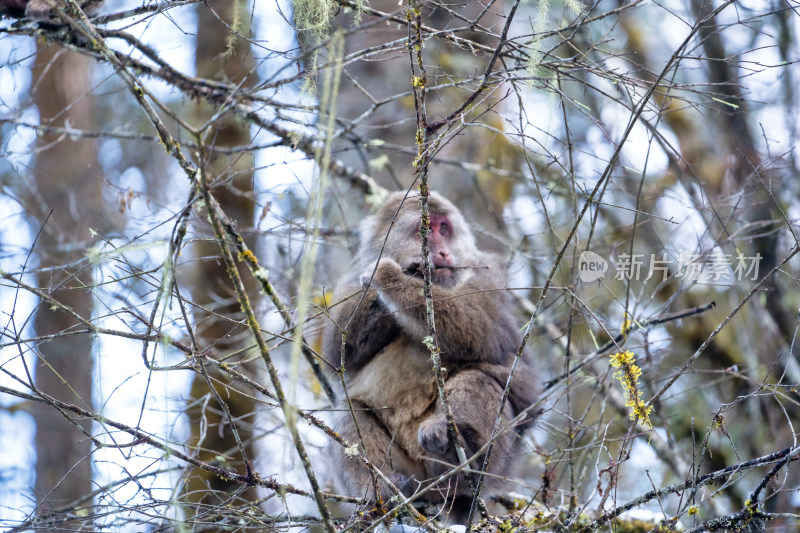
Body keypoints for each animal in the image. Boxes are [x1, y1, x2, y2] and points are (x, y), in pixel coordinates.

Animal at [324, 190, 536, 516]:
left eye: (444, 228)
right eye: (424, 229)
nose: (444, 254)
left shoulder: (487, 276)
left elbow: (482, 331)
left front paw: (389, 277)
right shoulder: (348, 283)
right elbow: (339, 353)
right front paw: (393, 276)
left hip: (490, 465)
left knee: (482, 378)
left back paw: (459, 441)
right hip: (407, 467)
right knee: (350, 410)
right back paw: (383, 488)